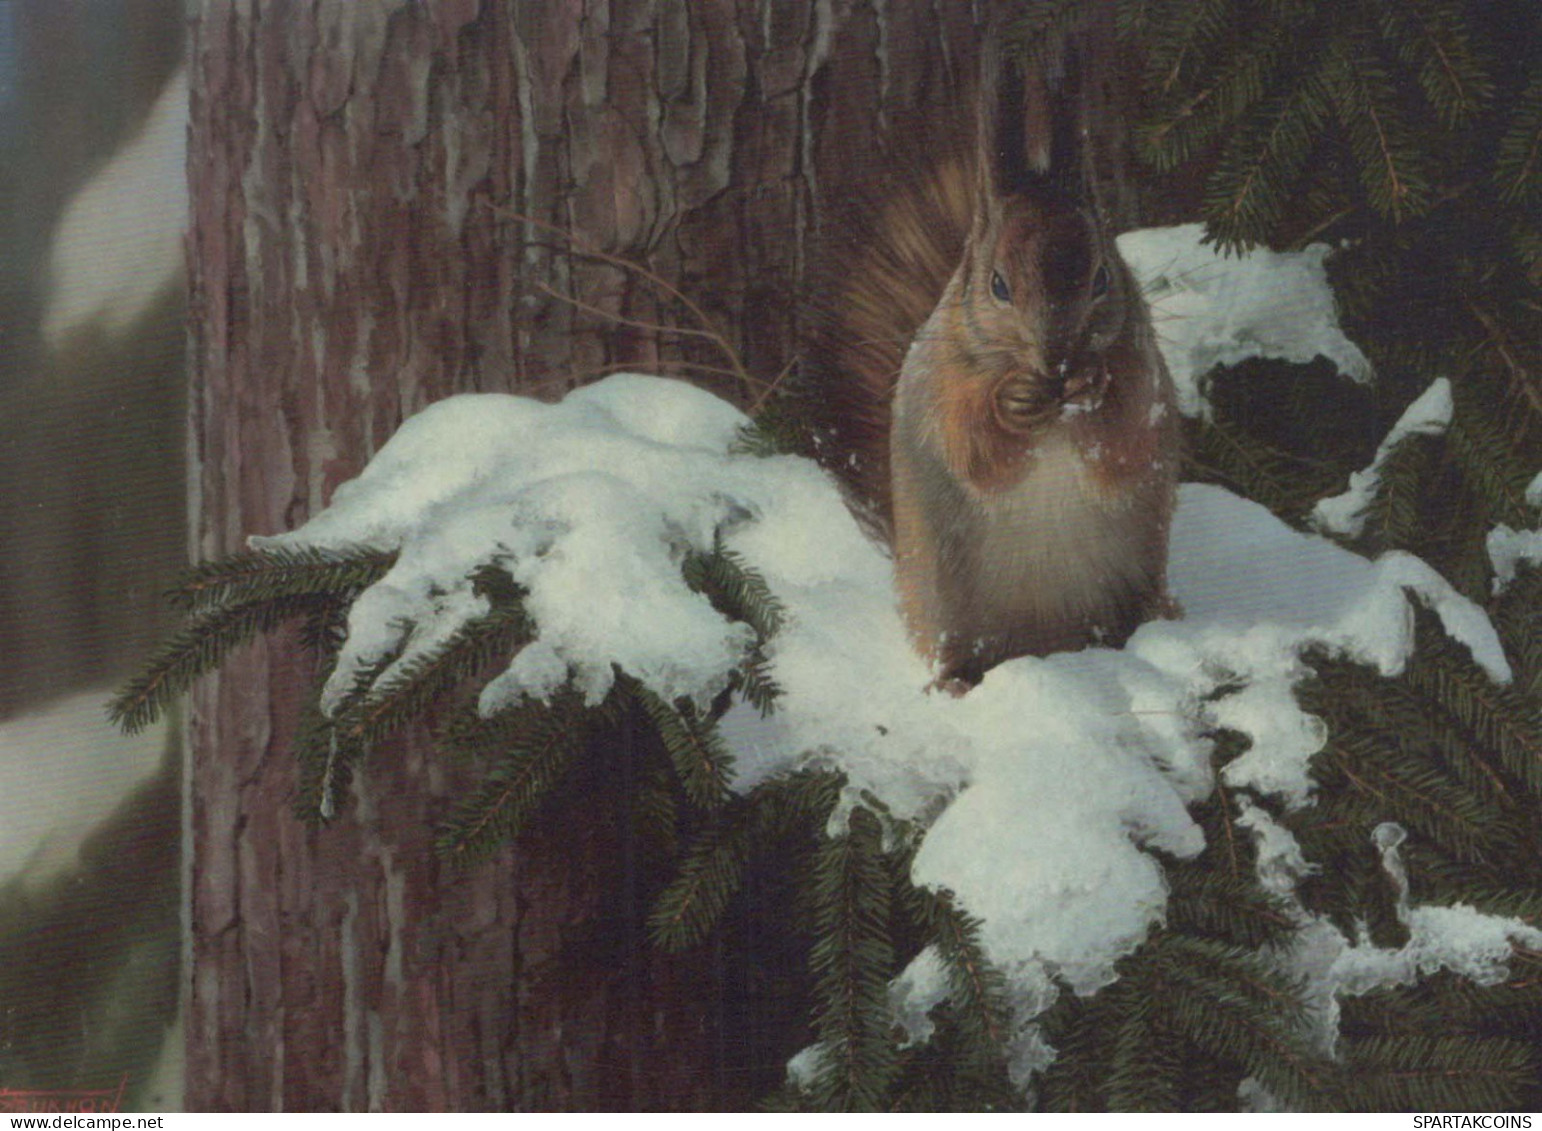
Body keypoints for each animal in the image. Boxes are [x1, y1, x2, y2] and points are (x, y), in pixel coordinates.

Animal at [801, 35, 1171, 685]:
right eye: (997, 285)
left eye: (1103, 276)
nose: (1057, 359)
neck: (1056, 405)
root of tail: (1051, 642)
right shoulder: (943, 387)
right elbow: (973, 447)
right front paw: (1013, 405)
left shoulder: (1143, 370)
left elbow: (1125, 440)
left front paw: (1095, 389)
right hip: (951, 603)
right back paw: (955, 682)